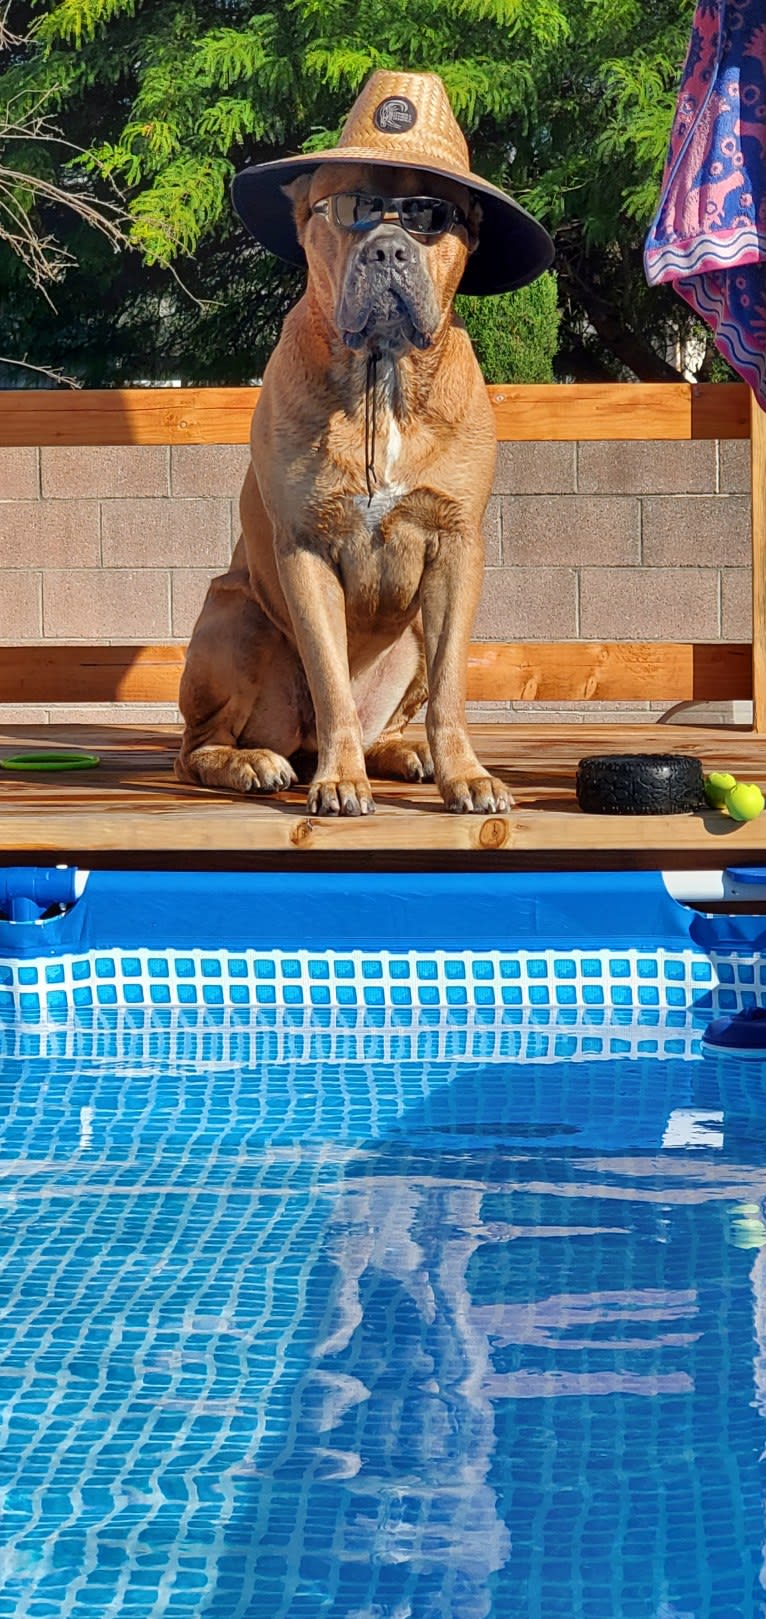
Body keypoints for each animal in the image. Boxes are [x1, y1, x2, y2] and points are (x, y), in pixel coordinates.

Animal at [176, 69, 553, 815]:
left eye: (428, 217)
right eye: (350, 207)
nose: (386, 247)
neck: (382, 378)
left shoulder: (455, 548)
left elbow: (451, 689)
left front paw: (464, 774)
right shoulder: (306, 551)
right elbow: (330, 682)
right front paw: (340, 782)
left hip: (411, 635)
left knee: (403, 711)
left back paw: (406, 753)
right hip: (233, 620)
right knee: (199, 746)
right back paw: (255, 761)